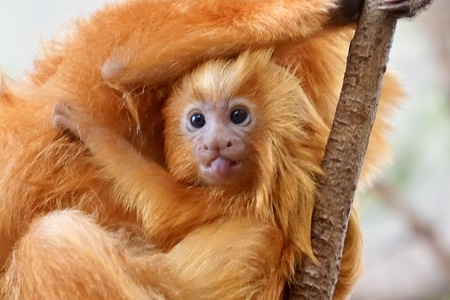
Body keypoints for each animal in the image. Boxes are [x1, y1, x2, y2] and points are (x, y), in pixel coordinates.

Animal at [52, 50, 356, 298]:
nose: (216, 143)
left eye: (238, 116)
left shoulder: (252, 195)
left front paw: (87, 127)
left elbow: (165, 207)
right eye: (197, 120)